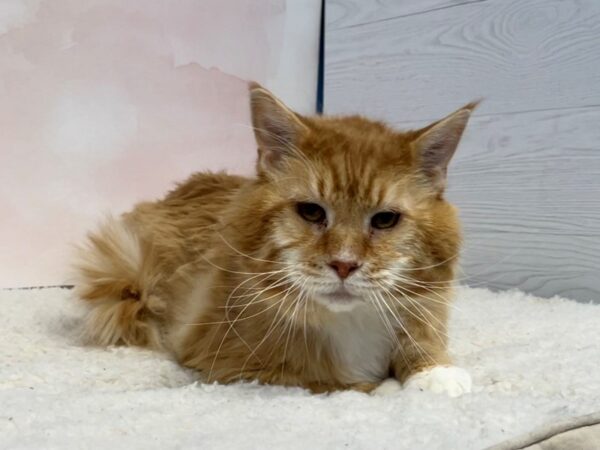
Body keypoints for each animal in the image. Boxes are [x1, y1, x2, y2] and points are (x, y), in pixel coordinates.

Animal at [74, 82, 478, 396]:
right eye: (311, 212)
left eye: (384, 220)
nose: (344, 264)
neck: (349, 323)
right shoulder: (238, 367)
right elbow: (339, 384)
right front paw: (380, 387)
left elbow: (421, 341)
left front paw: (434, 371)